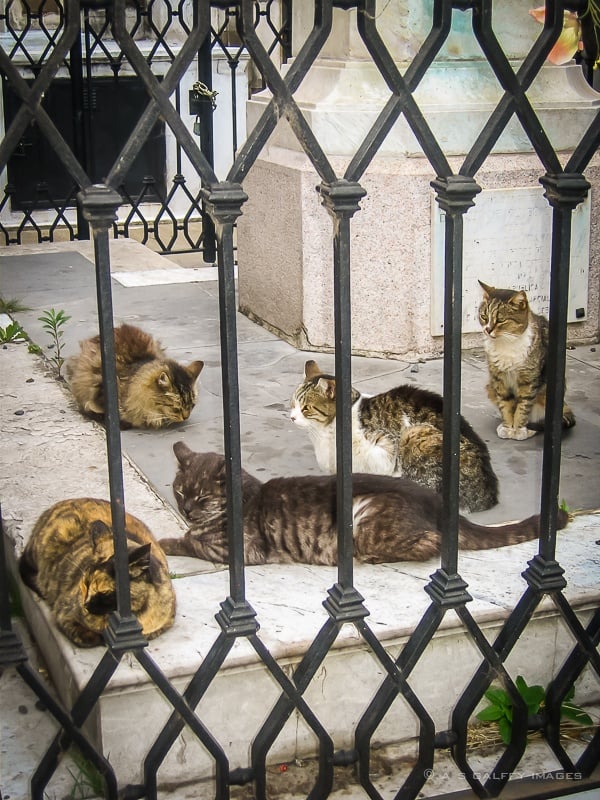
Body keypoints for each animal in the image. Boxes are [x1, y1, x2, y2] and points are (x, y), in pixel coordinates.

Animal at [18, 496, 177, 648]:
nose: (85, 604)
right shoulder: (64, 612)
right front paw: (98, 638)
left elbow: (150, 633)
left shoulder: (166, 620)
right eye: (83, 585)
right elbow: (84, 637)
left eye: (104, 591)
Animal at [288, 360, 500, 510]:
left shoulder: (385, 445)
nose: (292, 417)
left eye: (306, 408)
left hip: (414, 432)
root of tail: (489, 496)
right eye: (293, 404)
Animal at [480, 280, 576, 444]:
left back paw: (530, 428)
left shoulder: (529, 380)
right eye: (484, 316)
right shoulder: (499, 378)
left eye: (500, 319)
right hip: (490, 387)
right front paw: (508, 427)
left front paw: (518, 429)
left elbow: (523, 407)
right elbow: (505, 404)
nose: (487, 330)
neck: (506, 343)